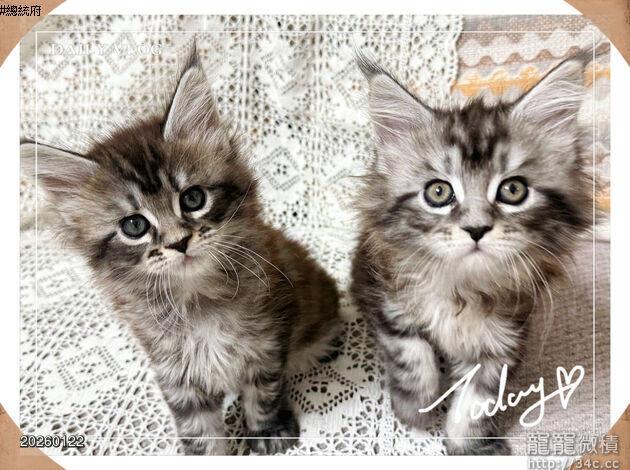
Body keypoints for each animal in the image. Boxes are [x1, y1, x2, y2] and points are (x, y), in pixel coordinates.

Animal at [21, 51, 340, 455]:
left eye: (193, 199)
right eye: (134, 226)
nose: (178, 242)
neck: (197, 298)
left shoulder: (267, 339)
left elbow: (263, 392)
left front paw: (268, 433)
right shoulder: (173, 367)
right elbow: (199, 430)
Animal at [350, 51, 593, 455]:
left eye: (513, 190)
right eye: (438, 192)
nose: (477, 229)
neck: (463, 287)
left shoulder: (505, 335)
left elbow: (479, 398)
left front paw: (469, 446)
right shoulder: (387, 294)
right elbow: (411, 354)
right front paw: (415, 410)